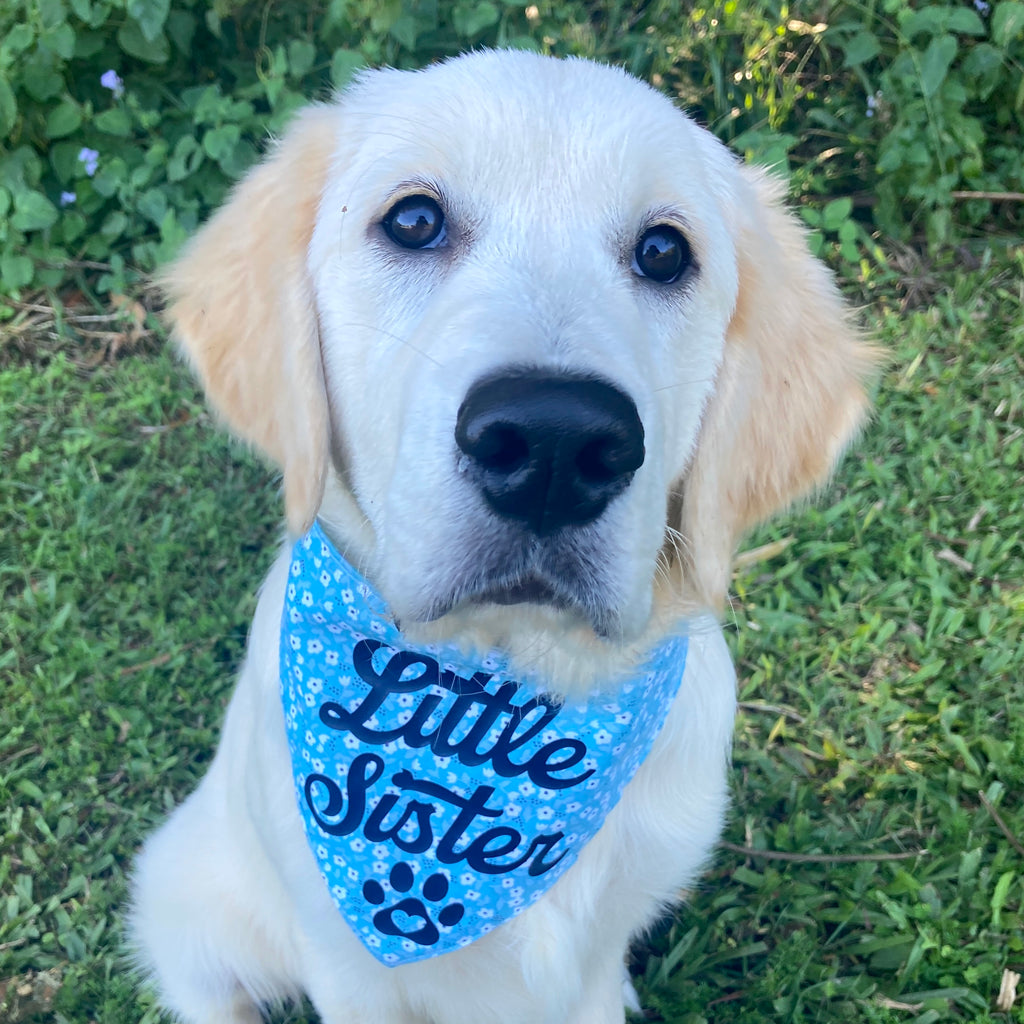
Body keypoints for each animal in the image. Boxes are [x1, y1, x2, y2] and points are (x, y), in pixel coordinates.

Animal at [132, 48, 876, 1024]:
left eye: (665, 252)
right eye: (413, 220)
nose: (556, 444)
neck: (508, 681)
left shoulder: (591, 964)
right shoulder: (344, 961)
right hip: (186, 895)